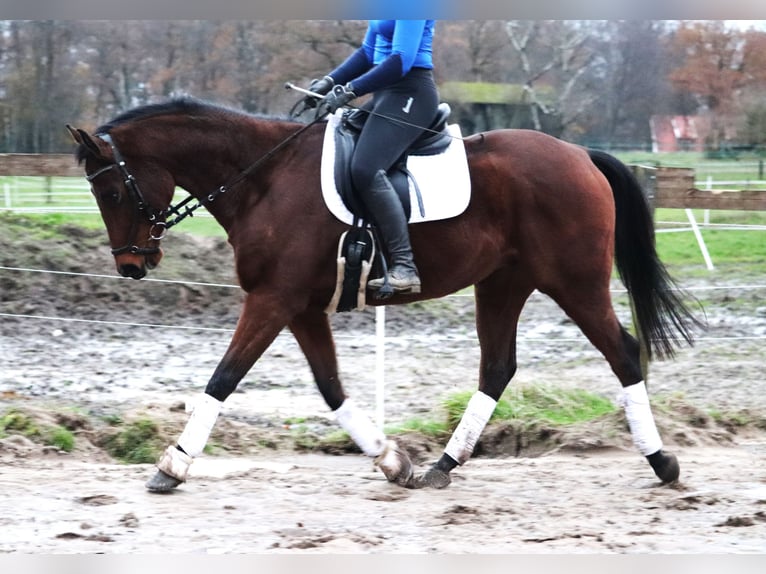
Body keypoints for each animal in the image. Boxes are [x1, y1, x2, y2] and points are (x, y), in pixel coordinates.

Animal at [67, 99, 704, 496]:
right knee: (497, 367)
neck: (262, 180)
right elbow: (330, 389)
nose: (130, 266)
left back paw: (662, 462)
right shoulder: (299, 307)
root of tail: (578, 154)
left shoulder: (272, 300)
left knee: (623, 352)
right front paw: (393, 460)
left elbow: (222, 378)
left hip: (574, 282)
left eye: (111, 190)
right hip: (503, 284)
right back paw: (441, 467)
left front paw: (171, 465)